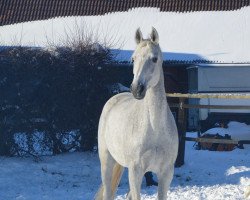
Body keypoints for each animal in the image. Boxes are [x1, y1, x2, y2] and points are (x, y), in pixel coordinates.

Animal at [94, 27, 179, 199]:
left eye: (154, 59)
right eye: (133, 59)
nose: (136, 89)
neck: (155, 128)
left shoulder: (166, 174)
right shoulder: (135, 171)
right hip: (107, 162)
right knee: (108, 192)